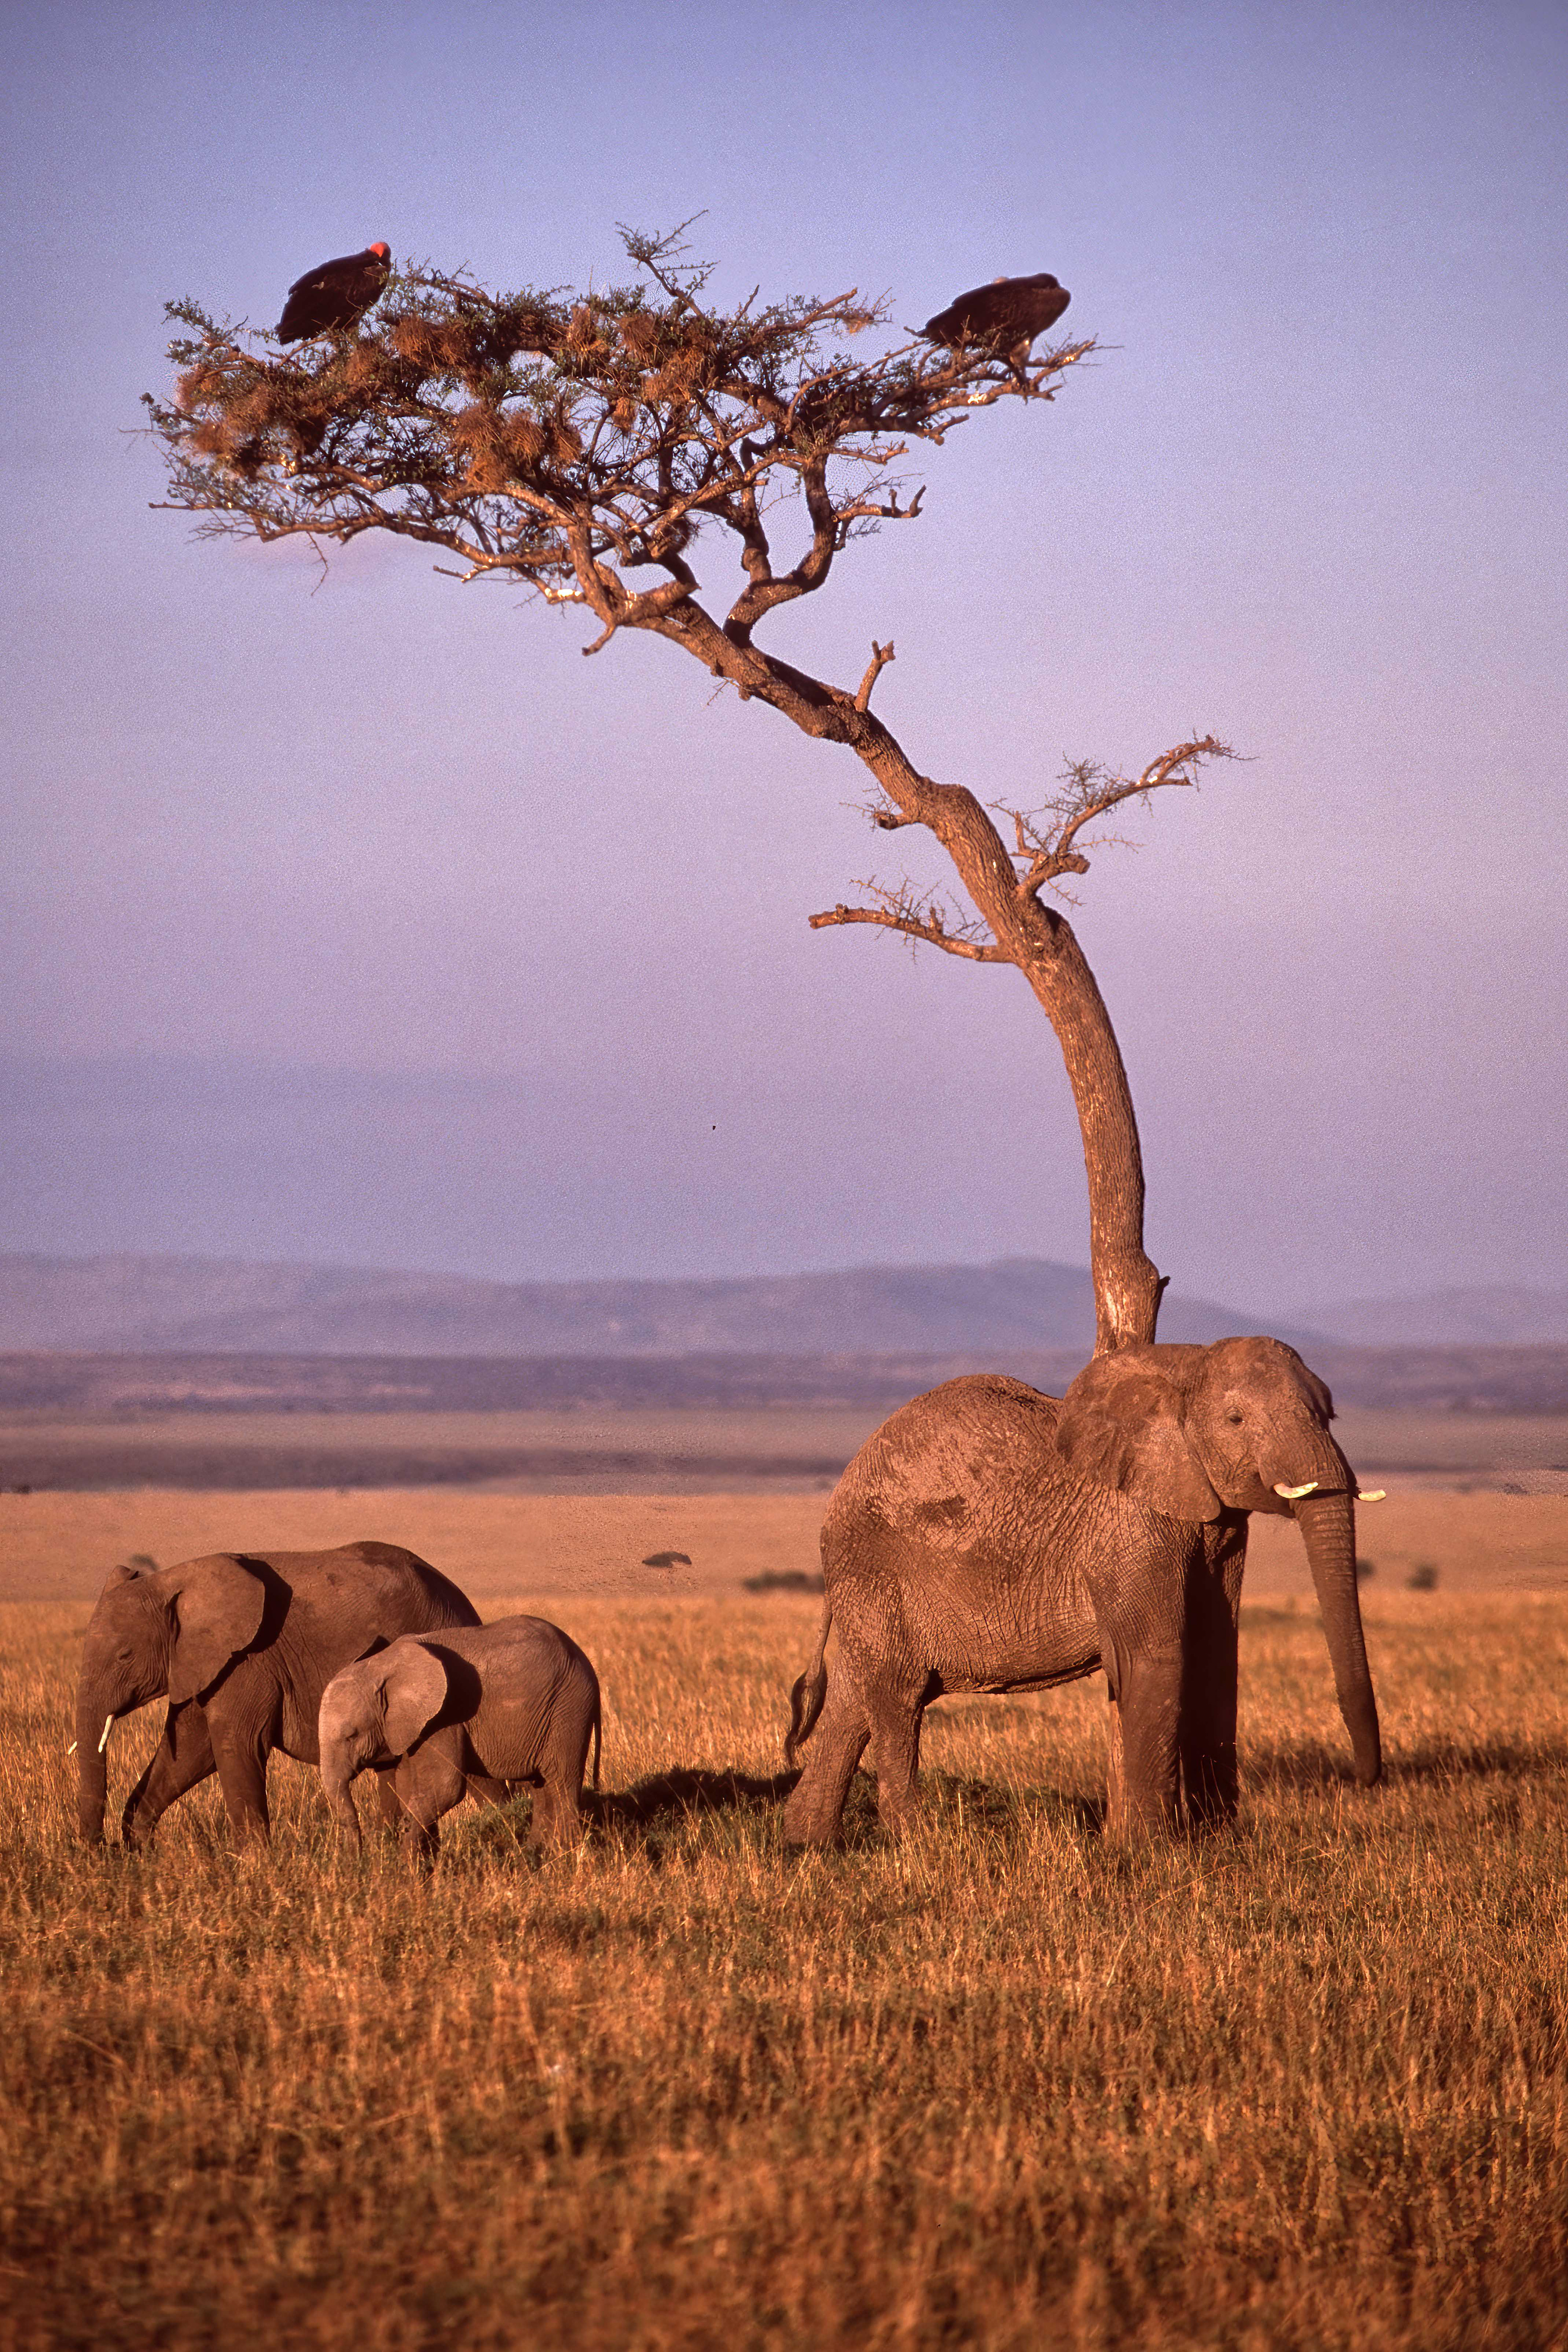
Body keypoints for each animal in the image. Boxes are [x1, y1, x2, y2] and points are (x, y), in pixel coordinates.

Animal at [74, 1540, 485, 1848]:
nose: (104, 1851)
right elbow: (190, 1754)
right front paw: (141, 1850)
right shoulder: (199, 1663)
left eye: (125, 1655)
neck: (171, 1579)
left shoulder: (249, 1659)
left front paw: (254, 1869)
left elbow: (234, 1746)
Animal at [318, 1615, 602, 1858]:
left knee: (561, 1781)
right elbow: (408, 1786)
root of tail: (585, 1660)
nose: (355, 1860)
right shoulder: (411, 1727)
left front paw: (404, 1865)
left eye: (351, 1736)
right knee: (542, 1786)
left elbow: (445, 1789)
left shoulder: (445, 1716)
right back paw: (534, 1854)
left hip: (569, 1708)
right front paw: (422, 1864)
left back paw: (564, 1858)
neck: (380, 1665)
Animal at [782, 1336, 1384, 1844]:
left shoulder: (1221, 1525)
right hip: (876, 1567)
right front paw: (1151, 1852)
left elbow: (1216, 1655)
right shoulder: (1129, 1526)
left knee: (854, 1698)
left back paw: (808, 1845)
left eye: (1329, 1414)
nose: (1368, 1779)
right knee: (897, 1696)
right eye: (1236, 1419)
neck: (1185, 1368)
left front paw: (1219, 1840)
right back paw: (920, 1847)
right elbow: (1156, 1659)